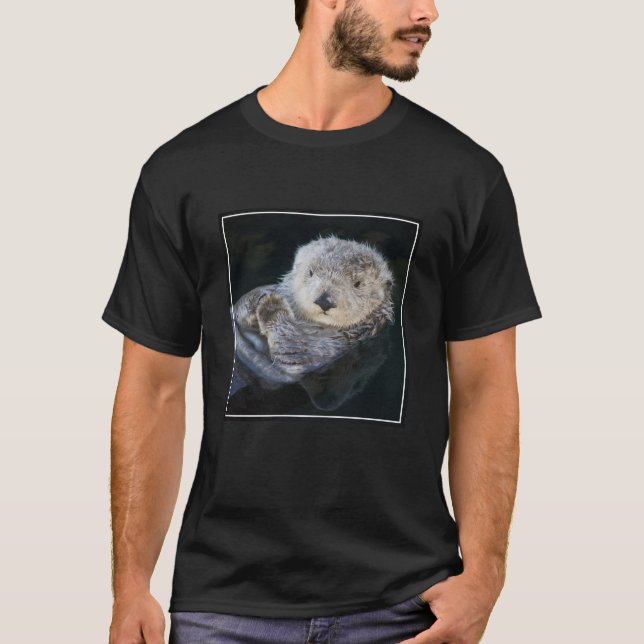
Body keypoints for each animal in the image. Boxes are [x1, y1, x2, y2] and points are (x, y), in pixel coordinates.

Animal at [232, 234, 395, 382]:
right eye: (311, 272)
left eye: (358, 284)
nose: (324, 301)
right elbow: (239, 307)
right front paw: (261, 295)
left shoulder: (334, 347)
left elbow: (294, 351)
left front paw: (271, 305)